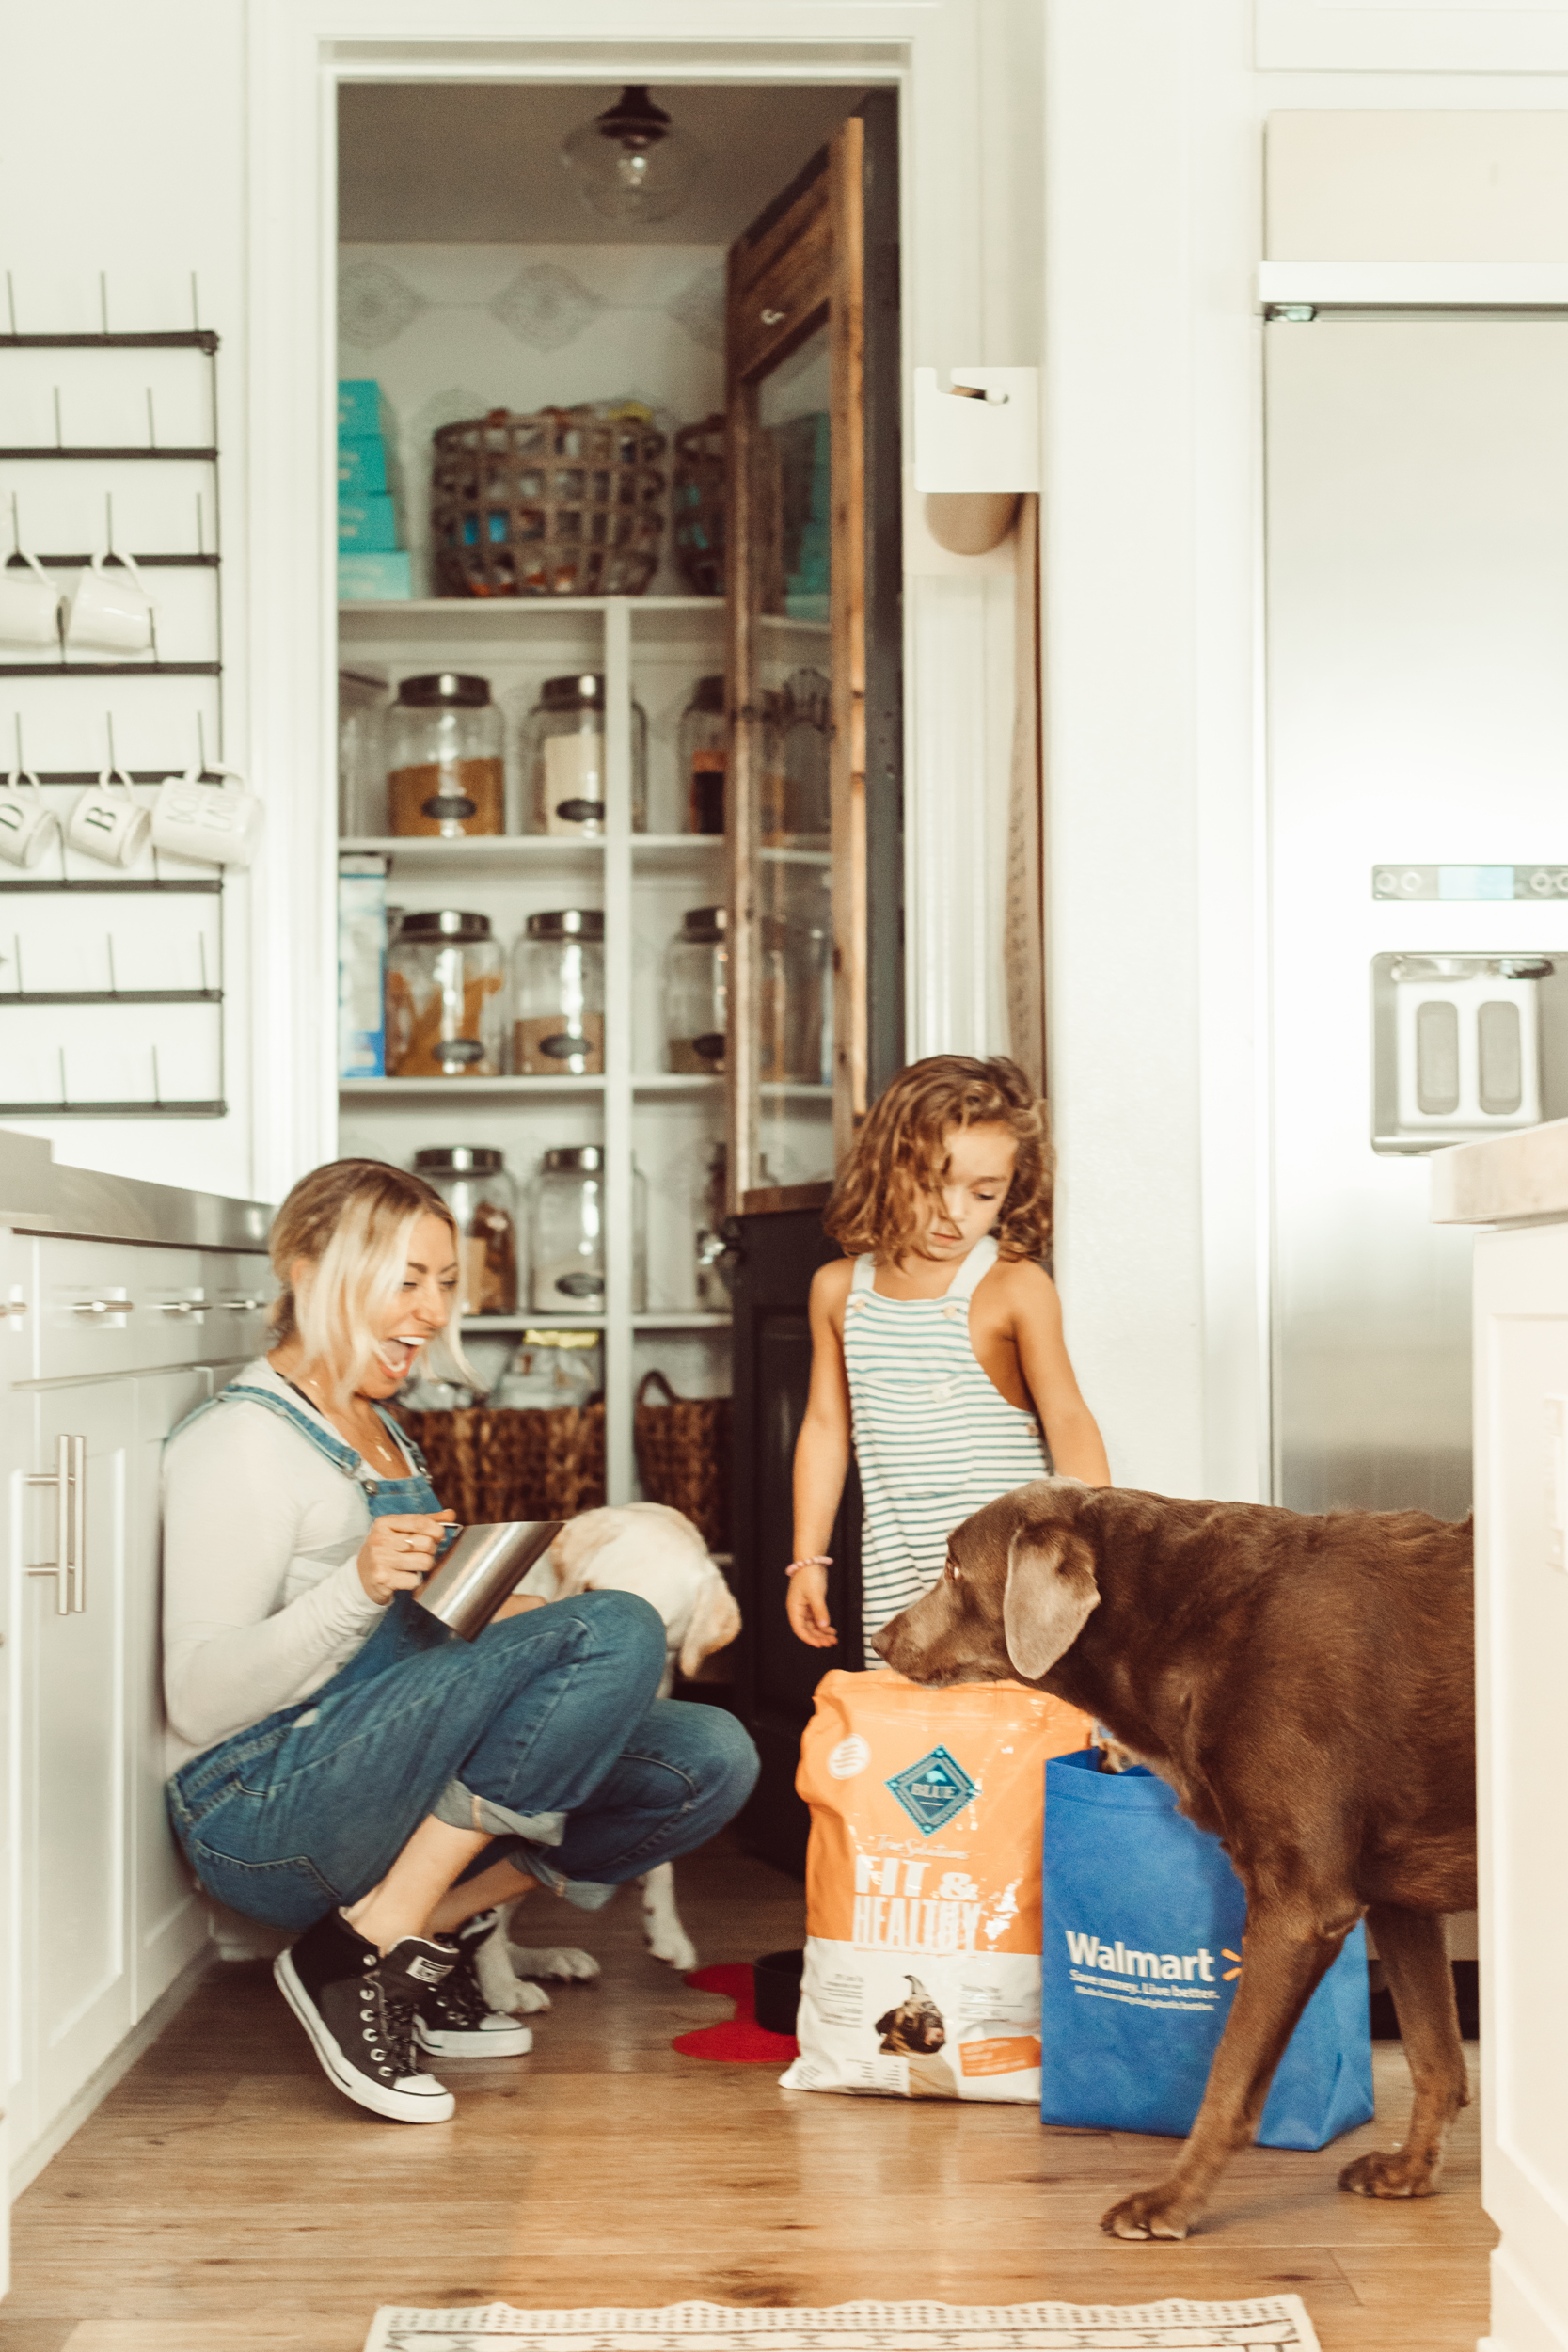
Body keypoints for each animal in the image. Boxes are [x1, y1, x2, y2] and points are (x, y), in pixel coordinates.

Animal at [474, 1496, 747, 2013]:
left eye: (653, 1630)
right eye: (589, 1592)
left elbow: (663, 1859)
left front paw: (667, 1930)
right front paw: (498, 1987)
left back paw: (549, 1960)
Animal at [879, 1477, 1476, 2230]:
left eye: (954, 1568)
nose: (879, 1639)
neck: (1180, 1622)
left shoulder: (1300, 1907)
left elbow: (1227, 2082)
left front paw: (1169, 2201)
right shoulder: (1397, 1898)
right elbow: (1435, 2057)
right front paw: (1410, 2171)